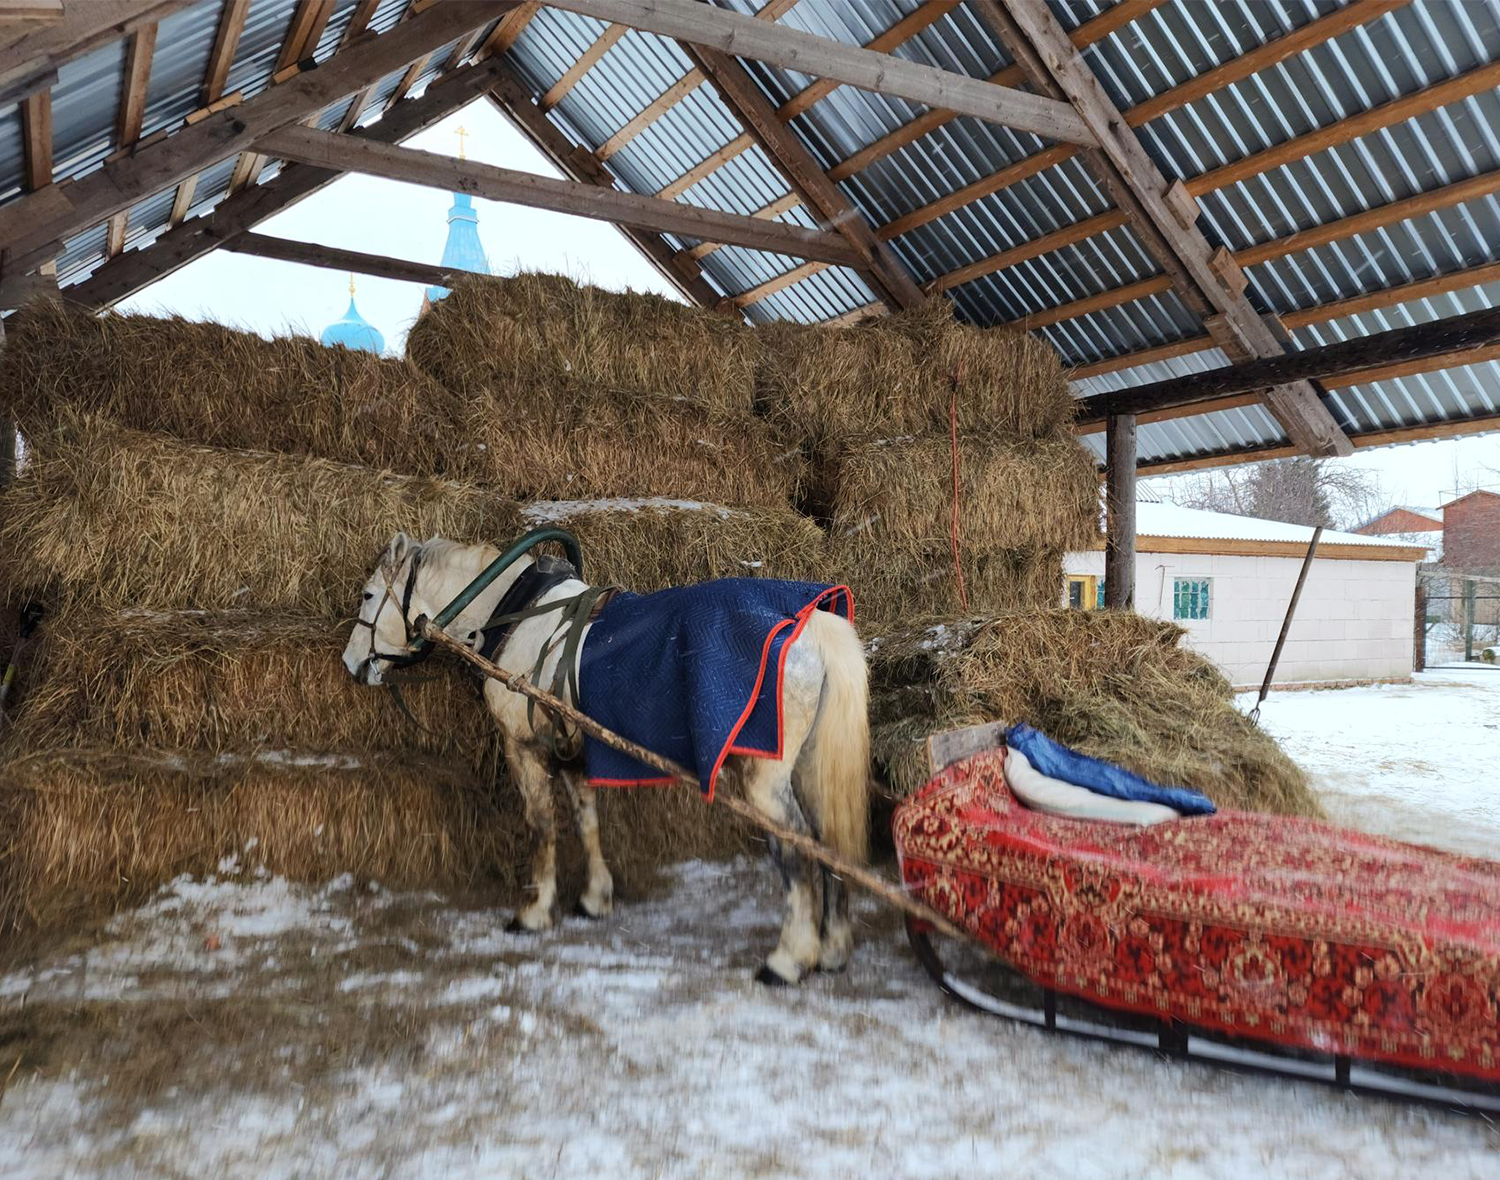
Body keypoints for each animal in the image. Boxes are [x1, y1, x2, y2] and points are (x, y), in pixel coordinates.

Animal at [343, 536, 876, 989]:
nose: (351, 664)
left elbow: (541, 825)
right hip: (809, 768)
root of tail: (810, 624)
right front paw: (595, 898)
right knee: (829, 842)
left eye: (368, 595)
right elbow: (587, 819)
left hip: (766, 778)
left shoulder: (523, 747)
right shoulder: (575, 751)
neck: (516, 613)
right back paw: (832, 950)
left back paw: (788, 959)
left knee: (798, 850)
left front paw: (534, 912)